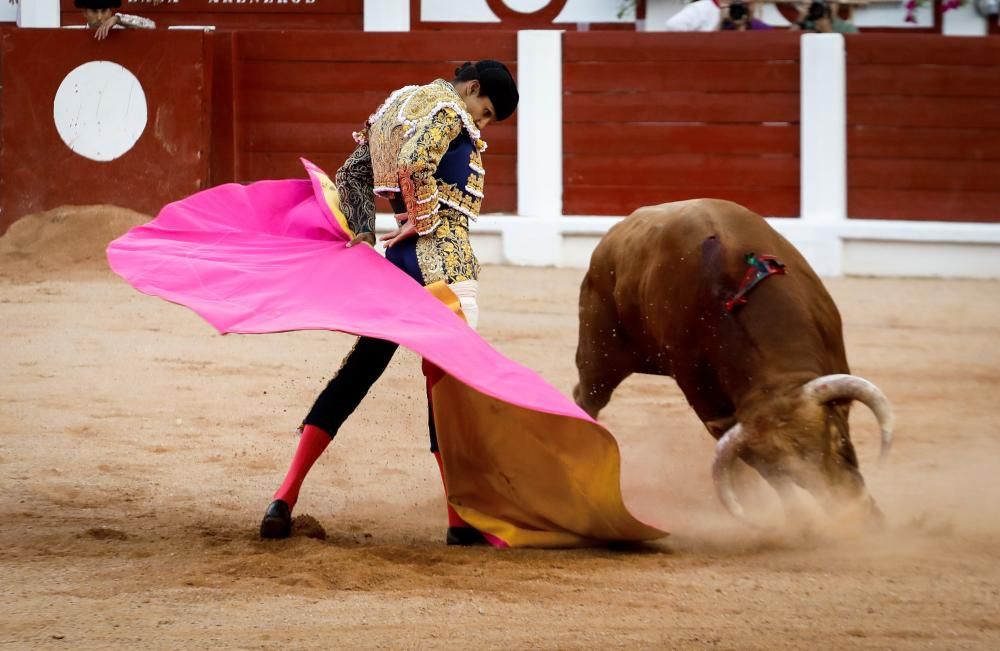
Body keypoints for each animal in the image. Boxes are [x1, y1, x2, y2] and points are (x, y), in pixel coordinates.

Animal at [576, 199, 896, 524]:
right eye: (793, 476)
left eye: (840, 442)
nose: (859, 517)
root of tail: (613, 236)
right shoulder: (707, 400)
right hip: (600, 352)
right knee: (588, 396)